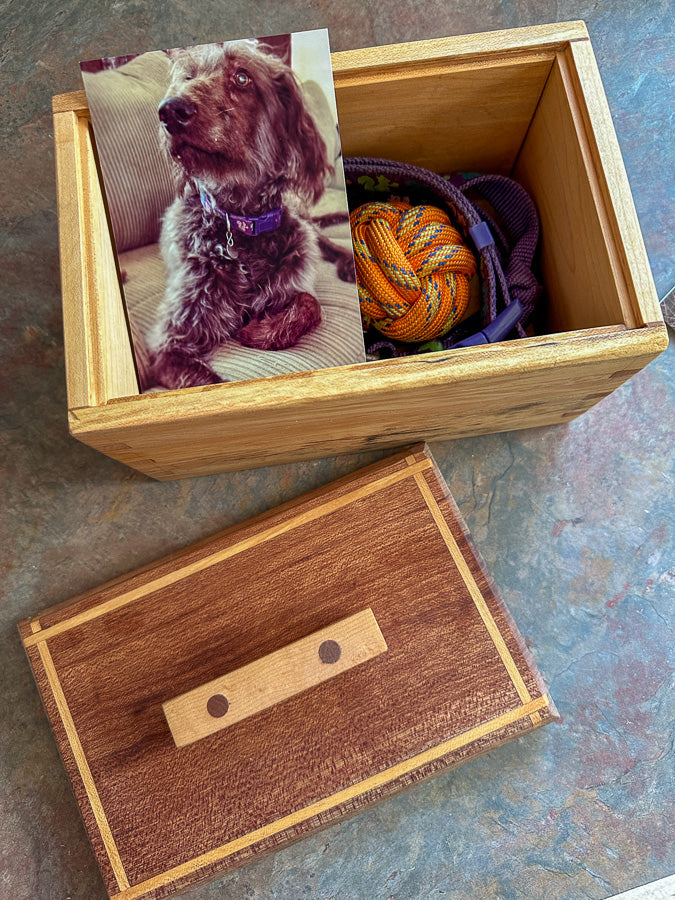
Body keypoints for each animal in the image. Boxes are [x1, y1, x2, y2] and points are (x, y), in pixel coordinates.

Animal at [148, 41, 338, 390]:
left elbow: (310, 302)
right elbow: (207, 381)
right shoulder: (169, 341)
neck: (240, 226)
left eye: (242, 77)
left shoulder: (292, 278)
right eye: (188, 77)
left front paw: (258, 331)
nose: (169, 110)